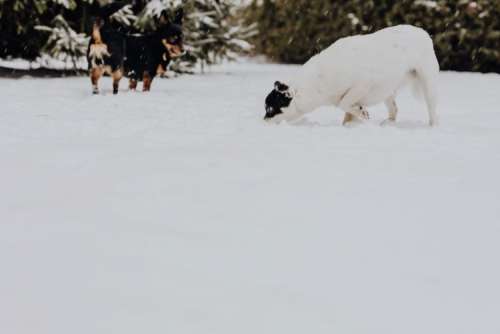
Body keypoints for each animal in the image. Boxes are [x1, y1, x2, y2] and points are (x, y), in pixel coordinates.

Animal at [264, 25, 440, 126]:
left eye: (271, 108)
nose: (263, 122)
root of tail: (422, 32)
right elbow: (347, 111)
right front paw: (350, 124)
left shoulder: (363, 84)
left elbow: (344, 103)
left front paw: (362, 113)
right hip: (388, 90)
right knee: (394, 109)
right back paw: (388, 123)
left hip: (427, 81)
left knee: (432, 109)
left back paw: (432, 126)